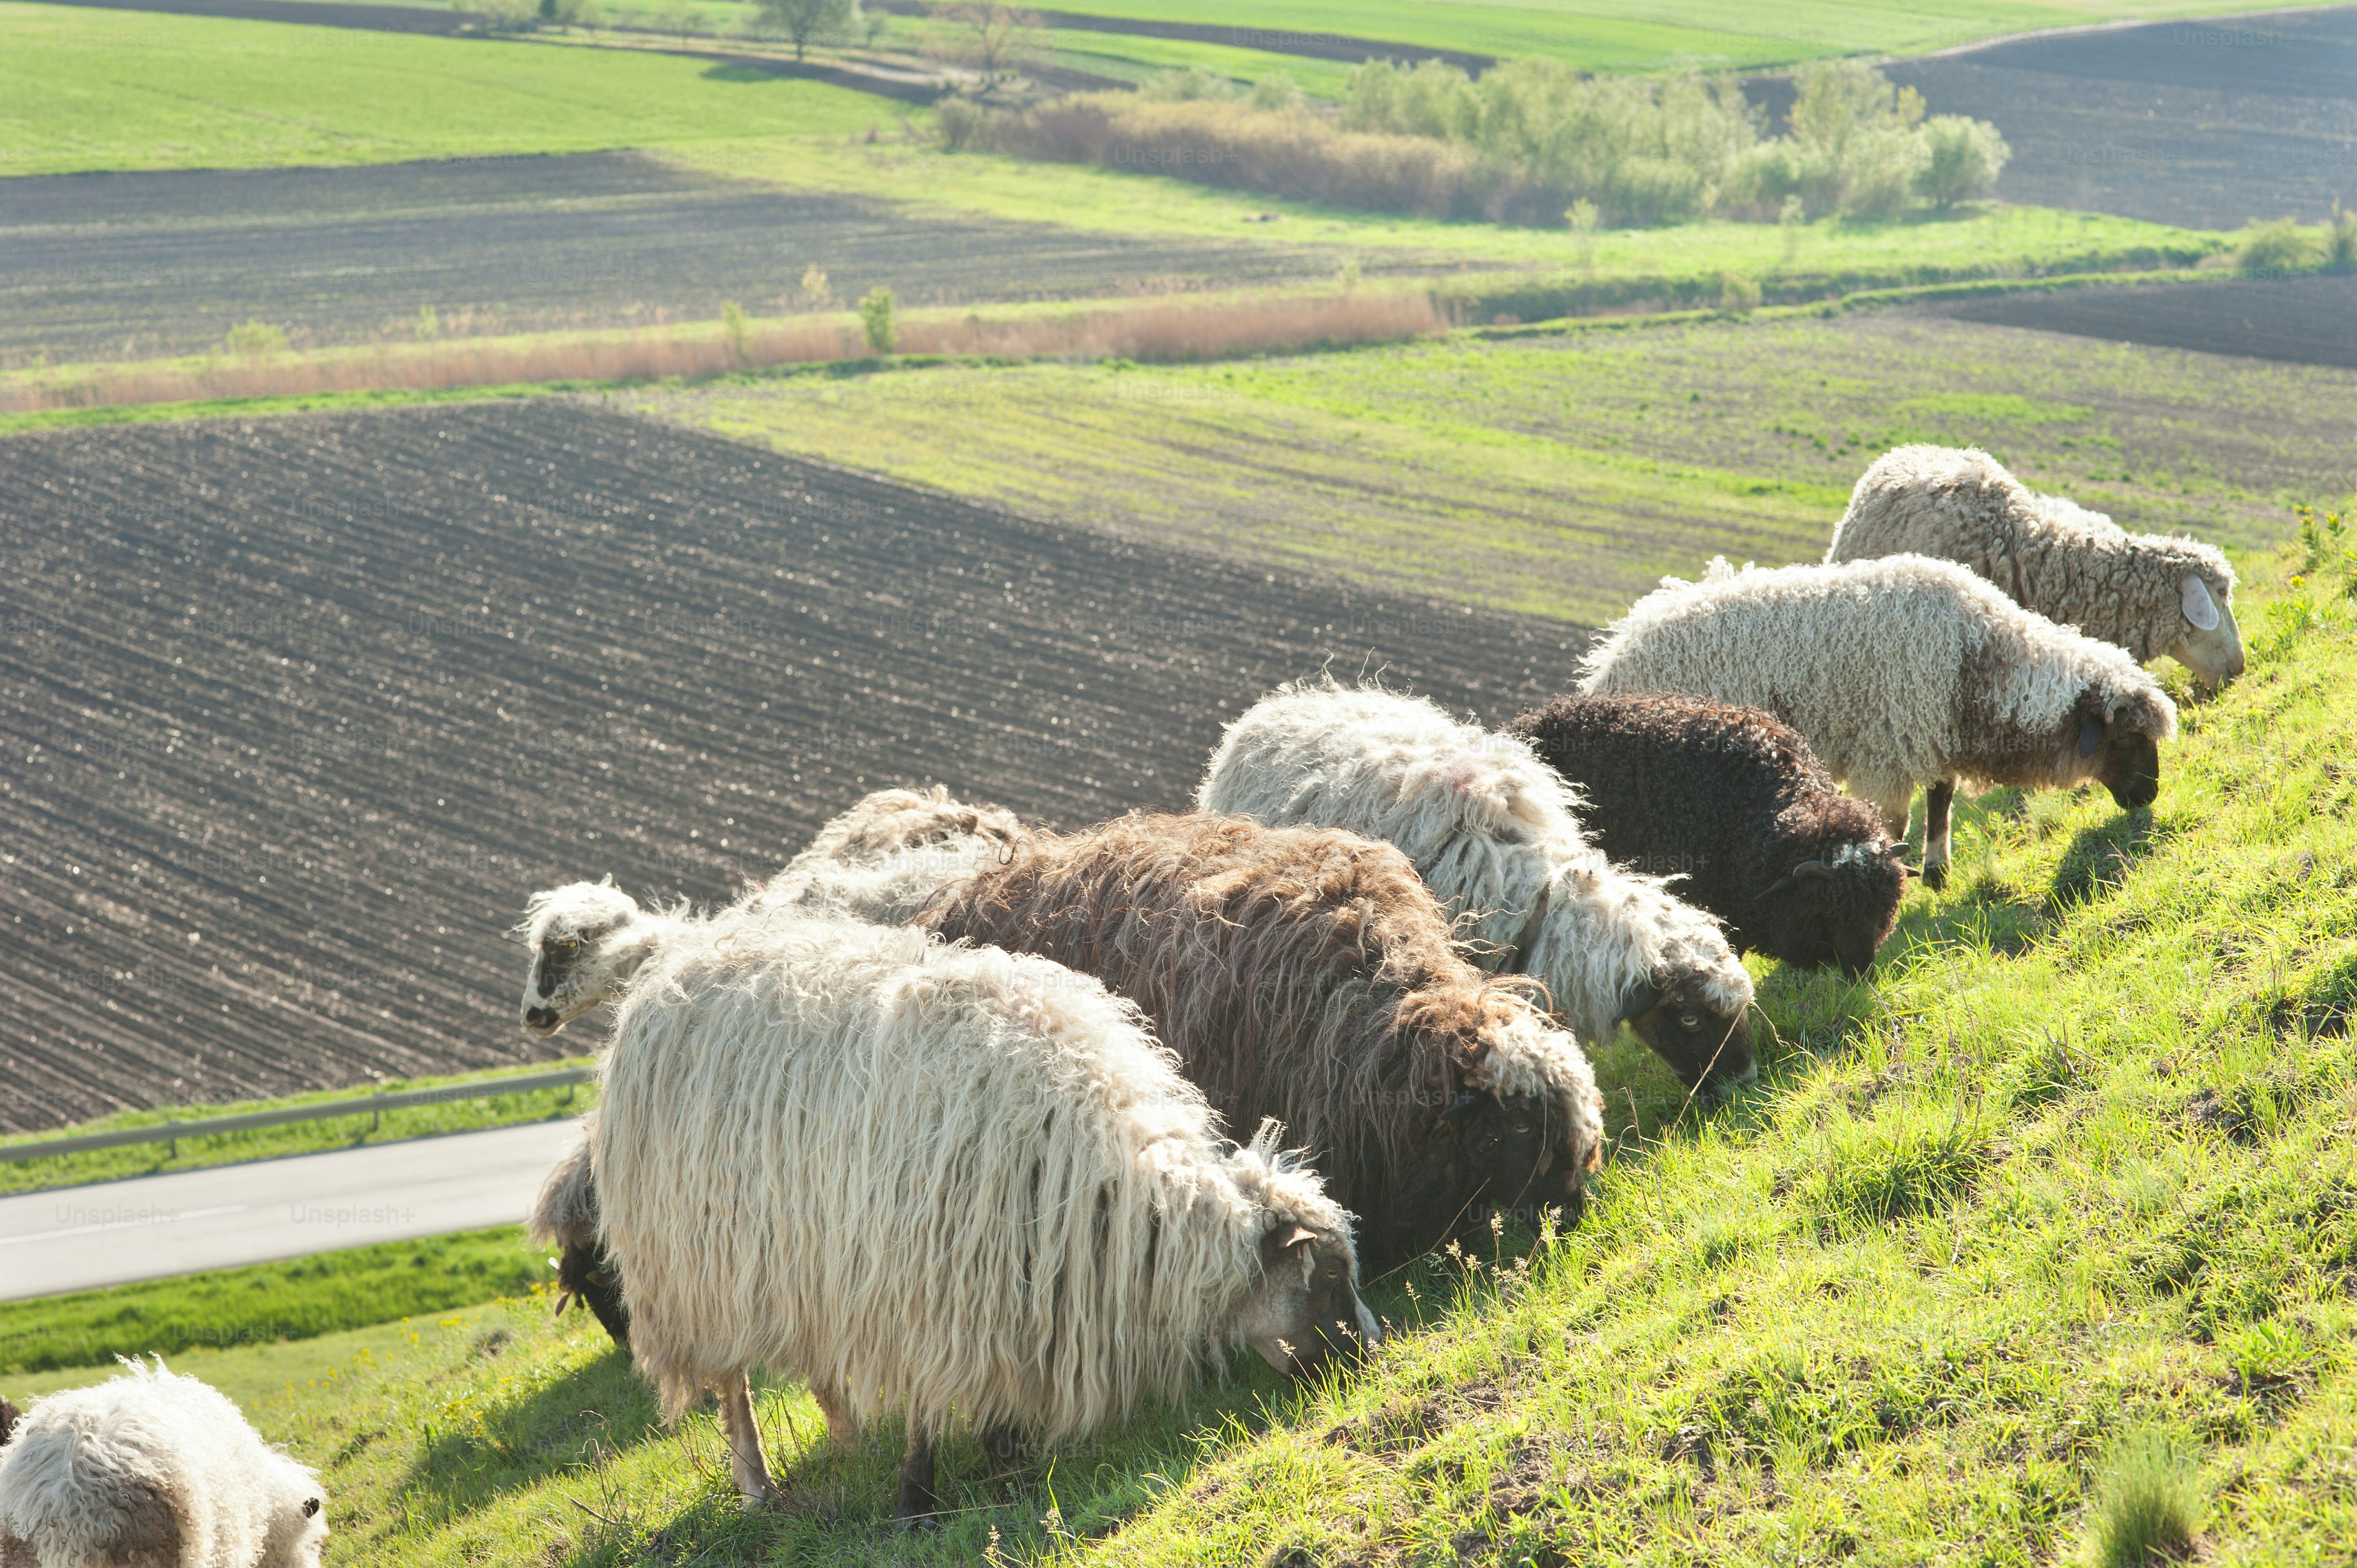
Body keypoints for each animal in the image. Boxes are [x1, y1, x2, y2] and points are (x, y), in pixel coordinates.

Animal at [593, 909, 1376, 1522]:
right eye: (1330, 1274)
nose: (1374, 1353)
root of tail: (677, 962)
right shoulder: (923, 1281)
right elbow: (925, 1407)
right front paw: (916, 1499)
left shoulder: (989, 1278)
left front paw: (1003, 1454)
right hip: (694, 1268)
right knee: (732, 1386)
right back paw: (756, 1486)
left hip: (805, 1255)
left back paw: (847, 1441)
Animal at [1577, 554, 2178, 889]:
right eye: (2125, 740)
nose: (2148, 796)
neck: (1979, 659)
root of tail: (1613, 659)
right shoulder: (1890, 746)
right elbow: (1892, 824)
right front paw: (1896, 877)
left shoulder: (1933, 735)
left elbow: (1940, 803)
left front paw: (1937, 872)